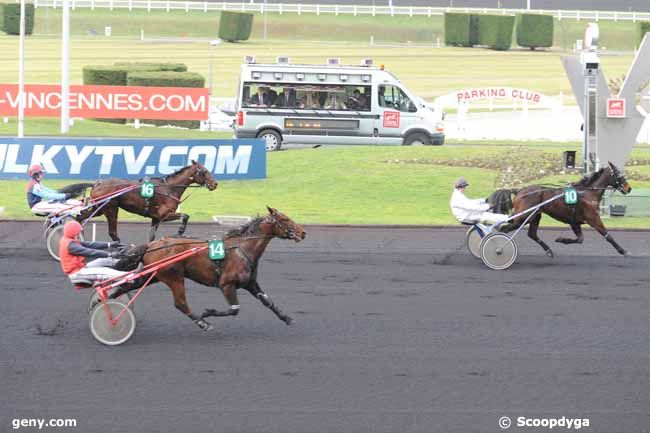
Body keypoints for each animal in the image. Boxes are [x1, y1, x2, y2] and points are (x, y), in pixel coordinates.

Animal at [78, 161, 218, 243]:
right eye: (204, 171)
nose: (215, 184)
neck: (169, 188)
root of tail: (97, 184)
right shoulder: (164, 214)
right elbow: (185, 216)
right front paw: (180, 232)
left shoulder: (156, 218)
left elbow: (151, 237)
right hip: (110, 208)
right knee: (112, 232)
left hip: (99, 208)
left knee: (80, 217)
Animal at [114, 206, 306, 330]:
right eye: (284, 219)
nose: (303, 232)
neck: (242, 249)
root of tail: (152, 244)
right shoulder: (226, 284)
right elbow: (234, 309)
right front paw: (208, 313)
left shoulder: (250, 283)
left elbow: (267, 301)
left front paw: (286, 318)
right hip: (174, 277)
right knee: (180, 303)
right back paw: (202, 323)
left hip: (153, 275)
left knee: (124, 287)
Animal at [498, 161, 632, 256]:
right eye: (619, 175)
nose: (628, 188)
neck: (588, 194)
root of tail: (519, 190)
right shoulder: (593, 219)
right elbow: (608, 236)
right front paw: (623, 251)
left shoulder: (575, 222)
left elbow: (580, 239)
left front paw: (561, 239)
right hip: (525, 216)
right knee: (505, 228)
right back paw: (499, 248)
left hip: (535, 216)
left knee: (531, 234)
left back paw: (548, 251)